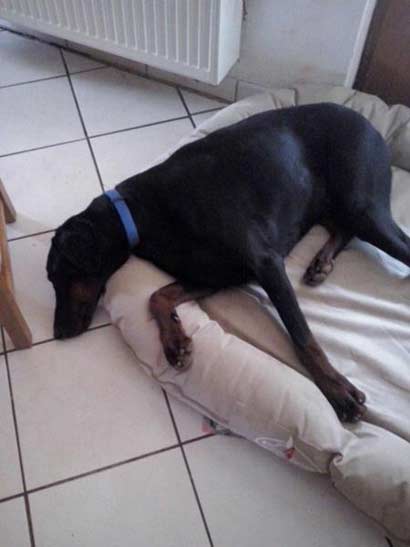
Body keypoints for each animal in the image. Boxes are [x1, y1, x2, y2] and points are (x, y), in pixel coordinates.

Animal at [47, 103, 410, 423]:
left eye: (59, 273)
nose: (57, 333)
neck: (139, 212)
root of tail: (369, 124)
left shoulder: (265, 263)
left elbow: (303, 337)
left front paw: (338, 392)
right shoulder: (216, 275)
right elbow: (156, 295)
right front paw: (176, 342)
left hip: (362, 205)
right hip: (328, 204)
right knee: (343, 228)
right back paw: (321, 263)